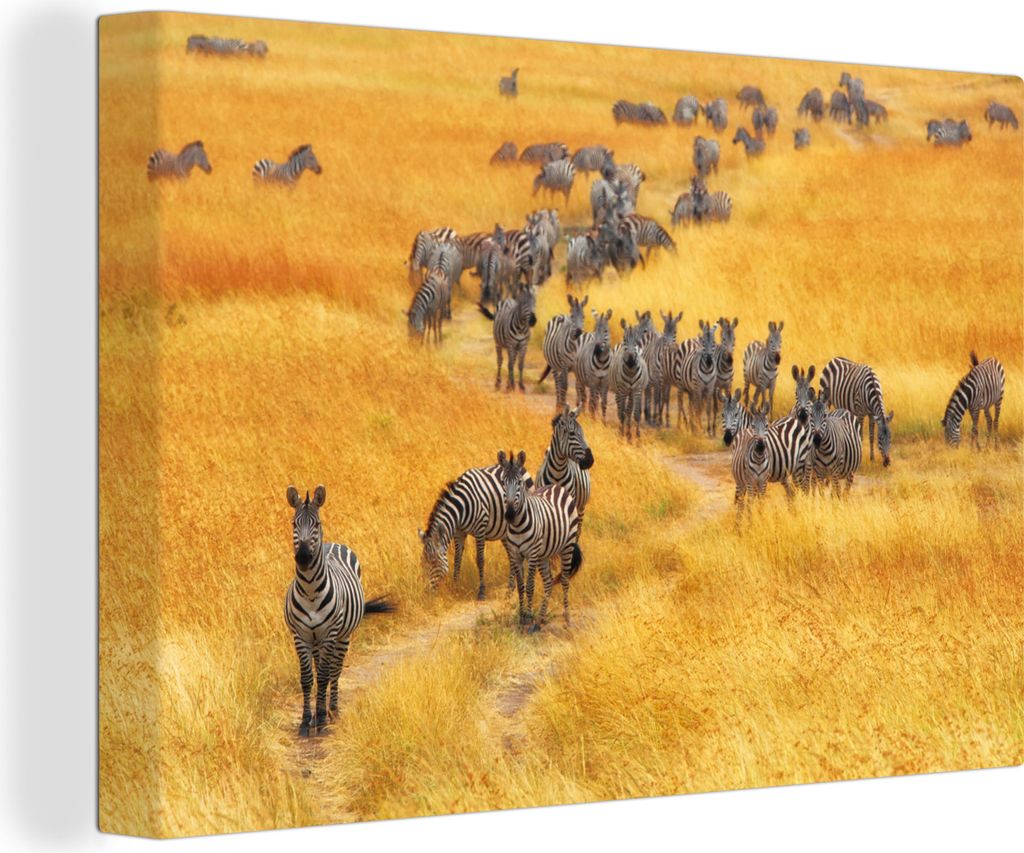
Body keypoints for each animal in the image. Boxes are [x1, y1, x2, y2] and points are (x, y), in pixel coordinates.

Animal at [284, 485, 394, 736]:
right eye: (294, 523)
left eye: (316, 524)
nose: (303, 558)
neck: (310, 590)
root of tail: (332, 543)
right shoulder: (300, 636)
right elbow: (307, 678)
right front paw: (306, 720)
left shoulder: (330, 634)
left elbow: (325, 675)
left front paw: (322, 718)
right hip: (317, 640)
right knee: (321, 670)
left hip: (342, 636)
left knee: (335, 670)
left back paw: (332, 709)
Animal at [418, 465, 522, 599]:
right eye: (422, 563)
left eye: (434, 562)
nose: (426, 594)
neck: (461, 507)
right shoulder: (459, 532)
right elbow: (457, 559)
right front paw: (455, 587)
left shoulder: (480, 530)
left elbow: (480, 560)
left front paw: (481, 592)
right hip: (504, 532)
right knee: (511, 555)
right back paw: (511, 587)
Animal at [497, 450, 583, 630]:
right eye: (503, 482)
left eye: (520, 483)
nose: (509, 514)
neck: (517, 526)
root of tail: (556, 486)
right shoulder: (516, 554)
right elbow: (521, 587)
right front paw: (522, 619)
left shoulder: (532, 554)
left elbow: (530, 586)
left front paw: (528, 618)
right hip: (544, 553)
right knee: (548, 582)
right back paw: (541, 619)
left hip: (567, 546)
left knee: (564, 580)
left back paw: (567, 619)